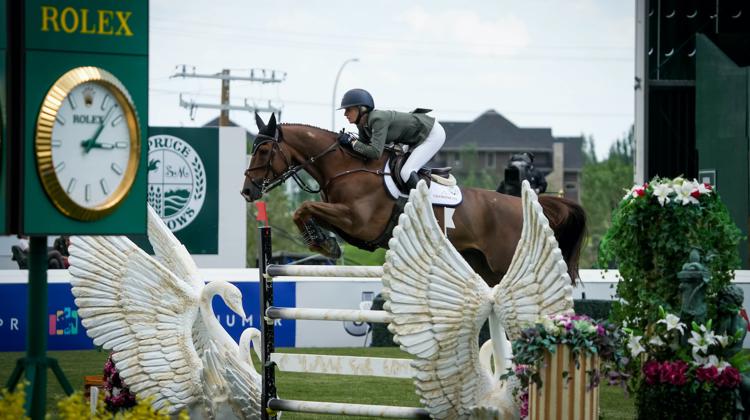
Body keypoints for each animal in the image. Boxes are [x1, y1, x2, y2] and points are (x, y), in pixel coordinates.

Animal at [242, 113, 588, 288]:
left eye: (263, 150)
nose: (247, 191)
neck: (346, 166)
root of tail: (523, 204)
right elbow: (305, 211)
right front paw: (322, 241)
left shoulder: (358, 222)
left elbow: (305, 207)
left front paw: (323, 244)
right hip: (484, 265)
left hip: (504, 261)